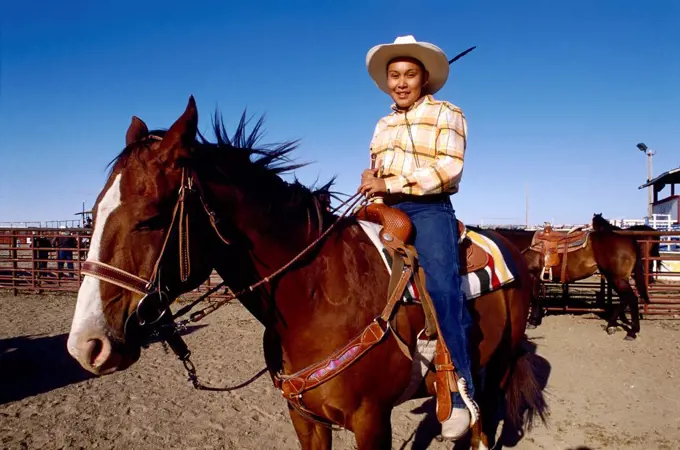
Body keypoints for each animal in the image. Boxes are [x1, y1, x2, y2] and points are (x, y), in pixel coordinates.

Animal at [67, 99, 548, 450]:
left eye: (149, 217)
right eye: (92, 213)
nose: (86, 345)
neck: (319, 295)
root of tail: (512, 244)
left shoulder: (372, 422)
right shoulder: (305, 419)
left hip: (497, 367)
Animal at [496, 216, 652, 340]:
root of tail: (629, 239)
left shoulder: (532, 275)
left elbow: (533, 298)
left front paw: (532, 322)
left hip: (617, 278)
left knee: (631, 298)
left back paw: (631, 332)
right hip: (613, 277)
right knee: (626, 298)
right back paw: (613, 325)